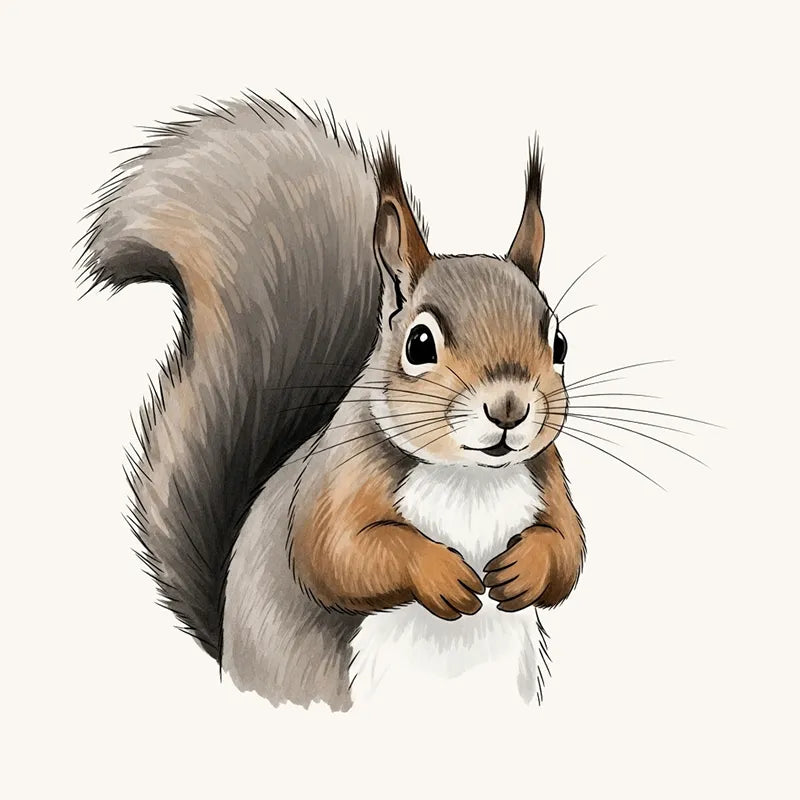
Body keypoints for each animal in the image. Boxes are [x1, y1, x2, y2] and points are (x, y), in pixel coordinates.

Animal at [79, 93, 585, 710]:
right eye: (419, 344)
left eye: (560, 344)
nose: (509, 408)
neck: (470, 479)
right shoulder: (335, 481)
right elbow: (335, 555)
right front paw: (439, 573)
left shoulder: (548, 477)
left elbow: (568, 547)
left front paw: (524, 569)